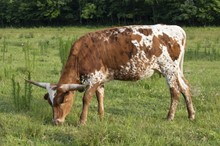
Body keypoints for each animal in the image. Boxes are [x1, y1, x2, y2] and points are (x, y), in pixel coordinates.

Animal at [26, 24, 196, 125]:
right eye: (50, 102)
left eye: (63, 101)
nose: (56, 121)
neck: (81, 54)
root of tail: (176, 28)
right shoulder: (100, 79)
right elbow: (100, 96)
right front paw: (101, 116)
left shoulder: (93, 78)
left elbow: (86, 98)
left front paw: (82, 121)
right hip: (176, 70)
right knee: (185, 88)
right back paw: (191, 115)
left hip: (168, 69)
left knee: (174, 92)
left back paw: (169, 117)